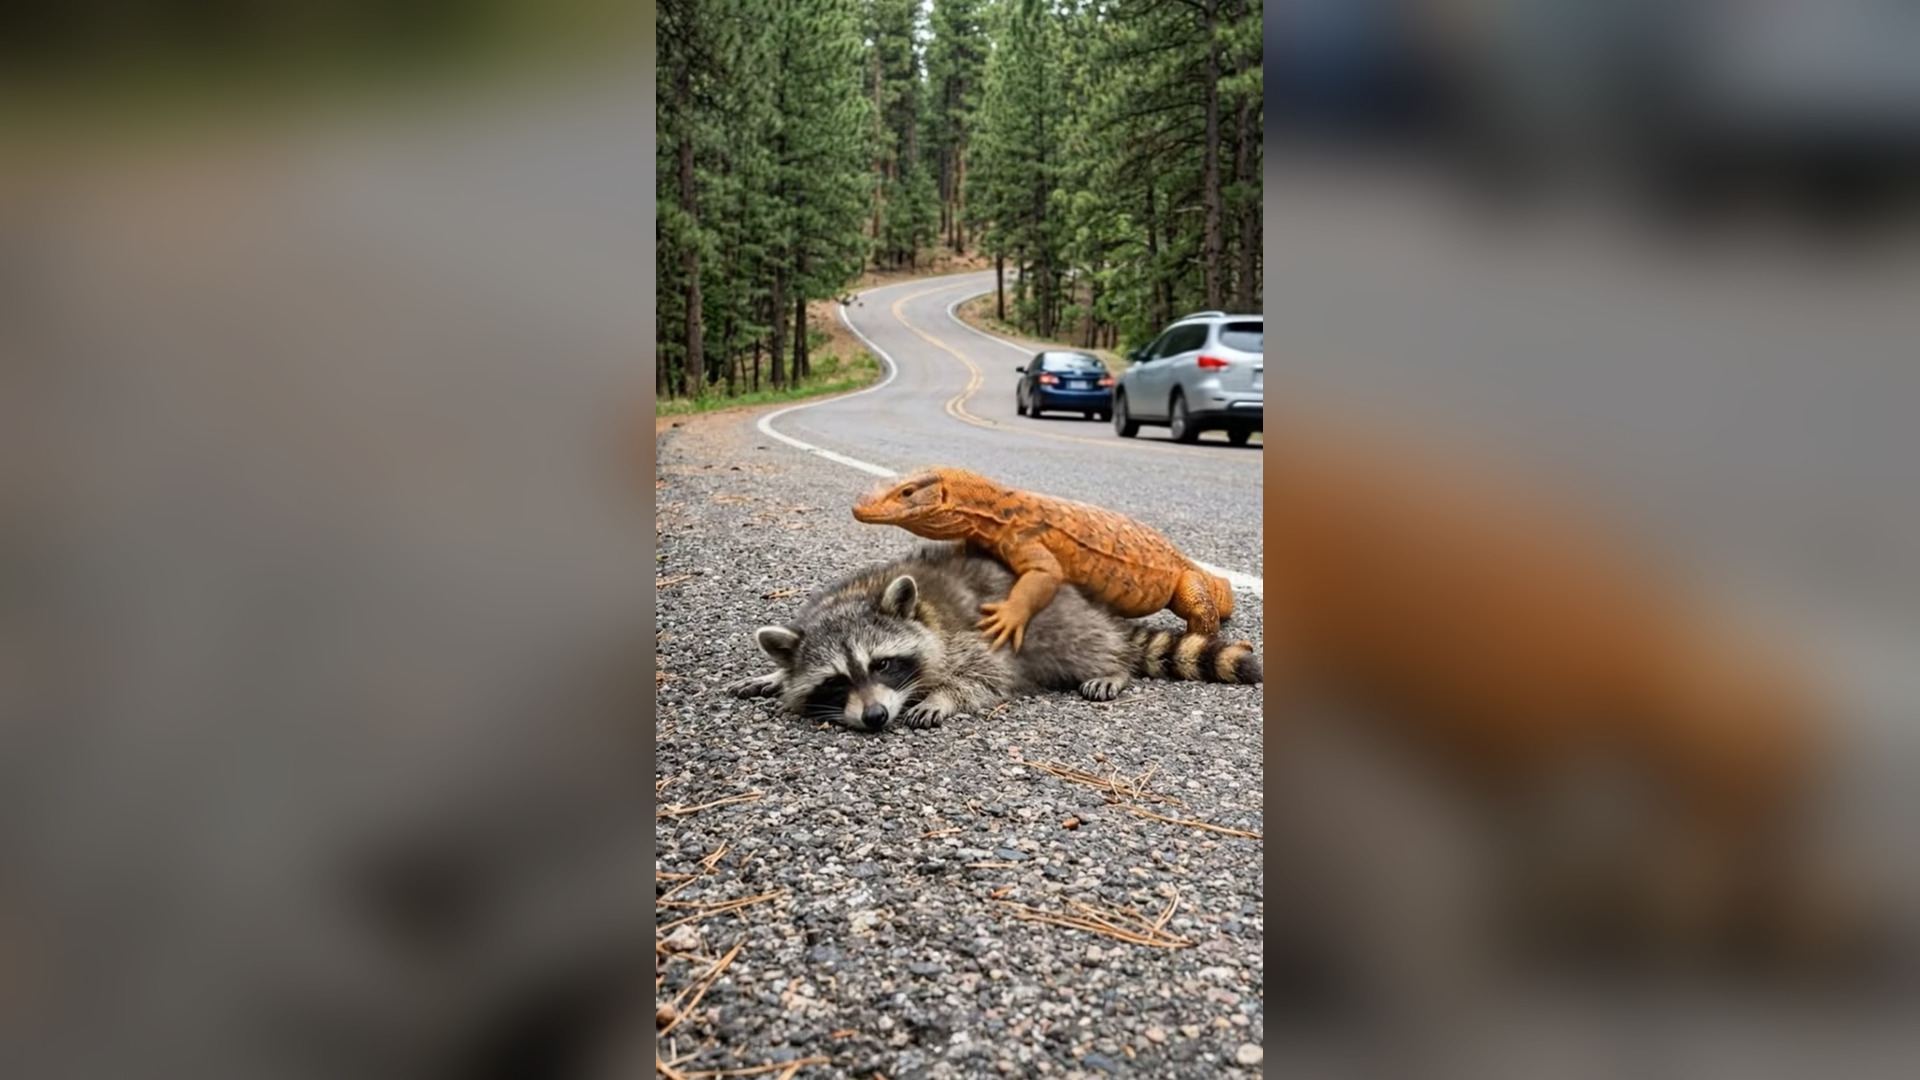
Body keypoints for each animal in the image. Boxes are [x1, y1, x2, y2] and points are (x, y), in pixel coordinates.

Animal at [726, 543, 1260, 732]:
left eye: (882, 664)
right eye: (836, 681)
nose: (875, 717)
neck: (850, 598)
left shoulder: (966, 633)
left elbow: (987, 673)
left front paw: (941, 696)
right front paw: (772, 675)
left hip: (1061, 621)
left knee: (1083, 644)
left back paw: (1111, 666)